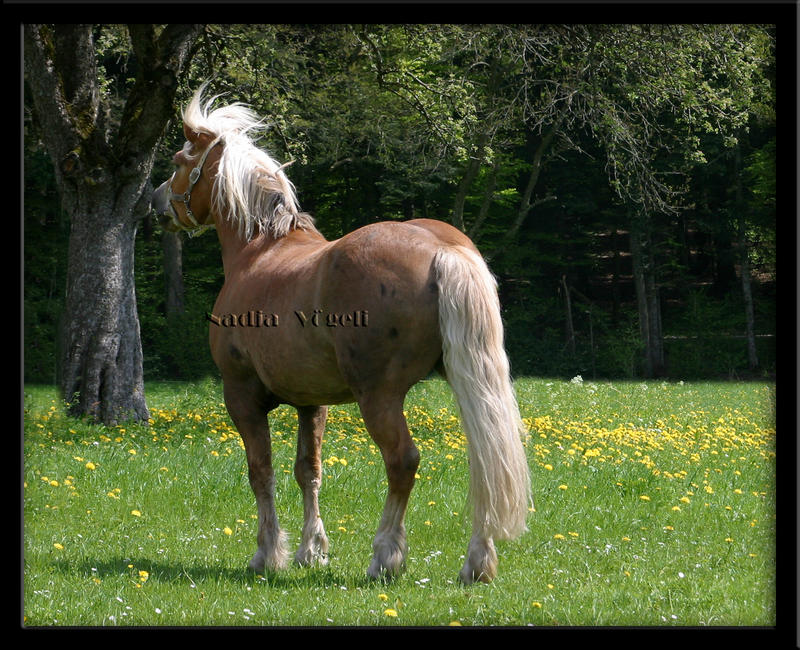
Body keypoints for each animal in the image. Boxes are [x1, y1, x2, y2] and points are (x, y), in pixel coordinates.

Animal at [152, 86, 532, 584]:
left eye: (180, 159)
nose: (156, 203)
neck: (260, 250)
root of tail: (443, 249)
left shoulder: (241, 396)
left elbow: (261, 471)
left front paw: (268, 554)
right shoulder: (311, 403)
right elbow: (307, 471)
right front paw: (311, 550)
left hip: (379, 397)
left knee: (403, 461)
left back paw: (386, 556)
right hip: (465, 380)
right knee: (486, 460)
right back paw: (477, 562)